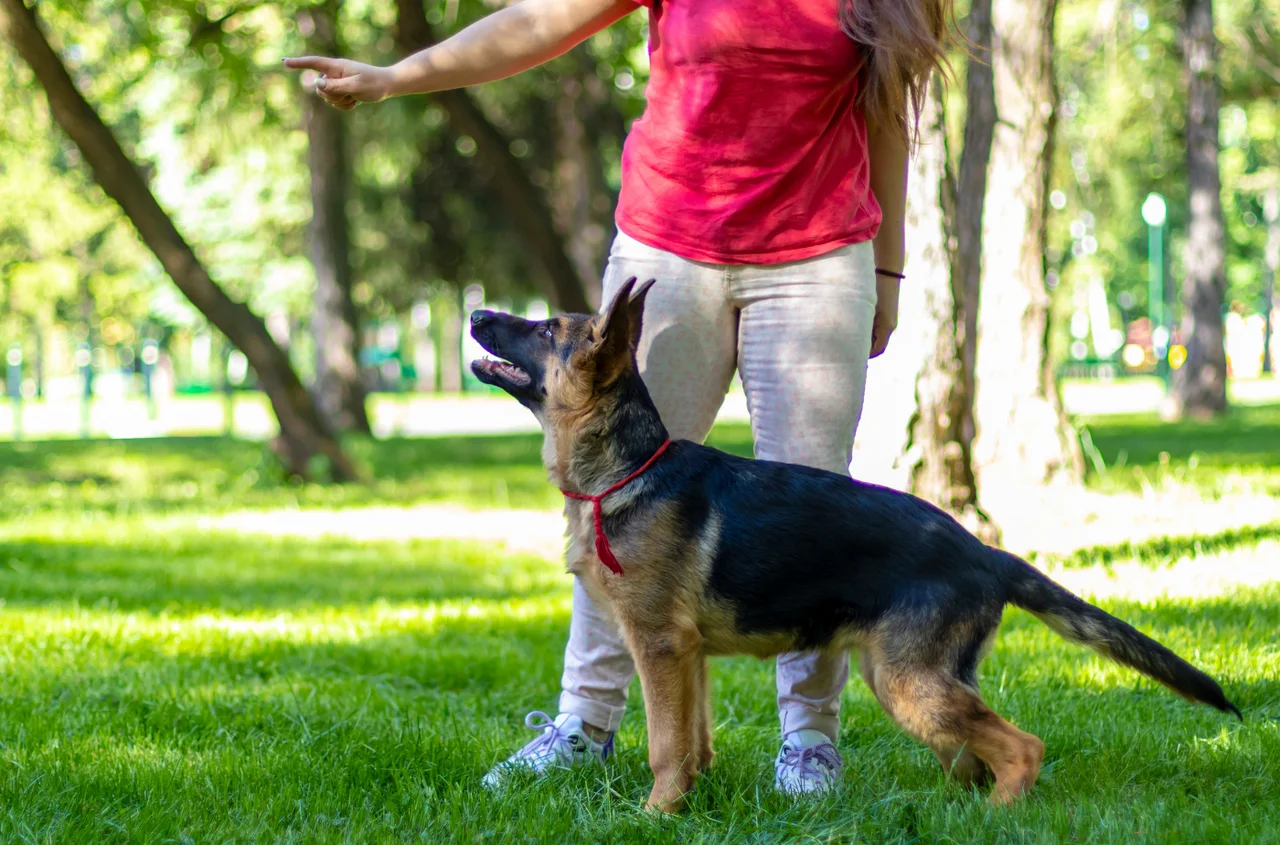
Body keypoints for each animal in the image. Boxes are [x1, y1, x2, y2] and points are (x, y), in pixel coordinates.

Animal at [471, 279, 1239, 814]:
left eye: (545, 328)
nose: (476, 315)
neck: (629, 467)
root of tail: (986, 554)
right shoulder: (687, 657)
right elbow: (692, 741)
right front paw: (688, 803)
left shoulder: (658, 645)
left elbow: (664, 744)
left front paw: (655, 815)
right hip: (912, 681)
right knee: (974, 753)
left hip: (909, 684)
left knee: (1022, 748)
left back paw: (994, 817)